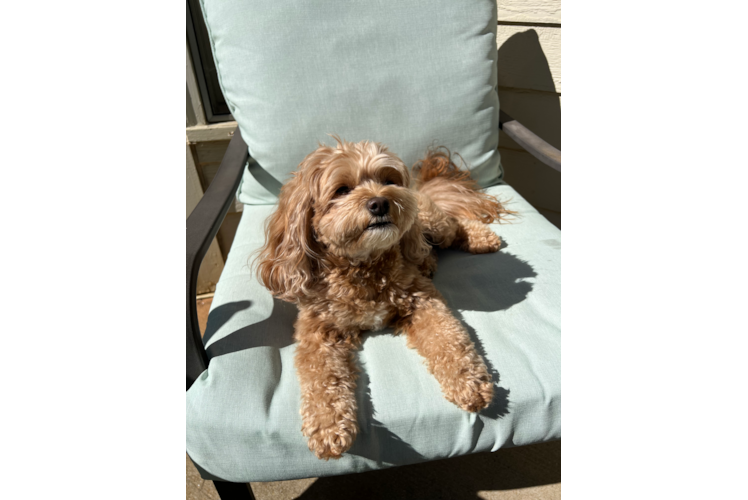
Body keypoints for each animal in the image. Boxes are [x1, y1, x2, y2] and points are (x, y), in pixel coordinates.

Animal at [254, 139, 512, 458]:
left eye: (388, 180)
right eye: (341, 190)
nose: (379, 202)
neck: (364, 265)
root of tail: (418, 189)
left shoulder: (422, 300)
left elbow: (448, 339)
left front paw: (469, 382)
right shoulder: (318, 330)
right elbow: (321, 377)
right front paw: (328, 427)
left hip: (431, 222)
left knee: (453, 224)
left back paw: (481, 238)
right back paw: (429, 261)